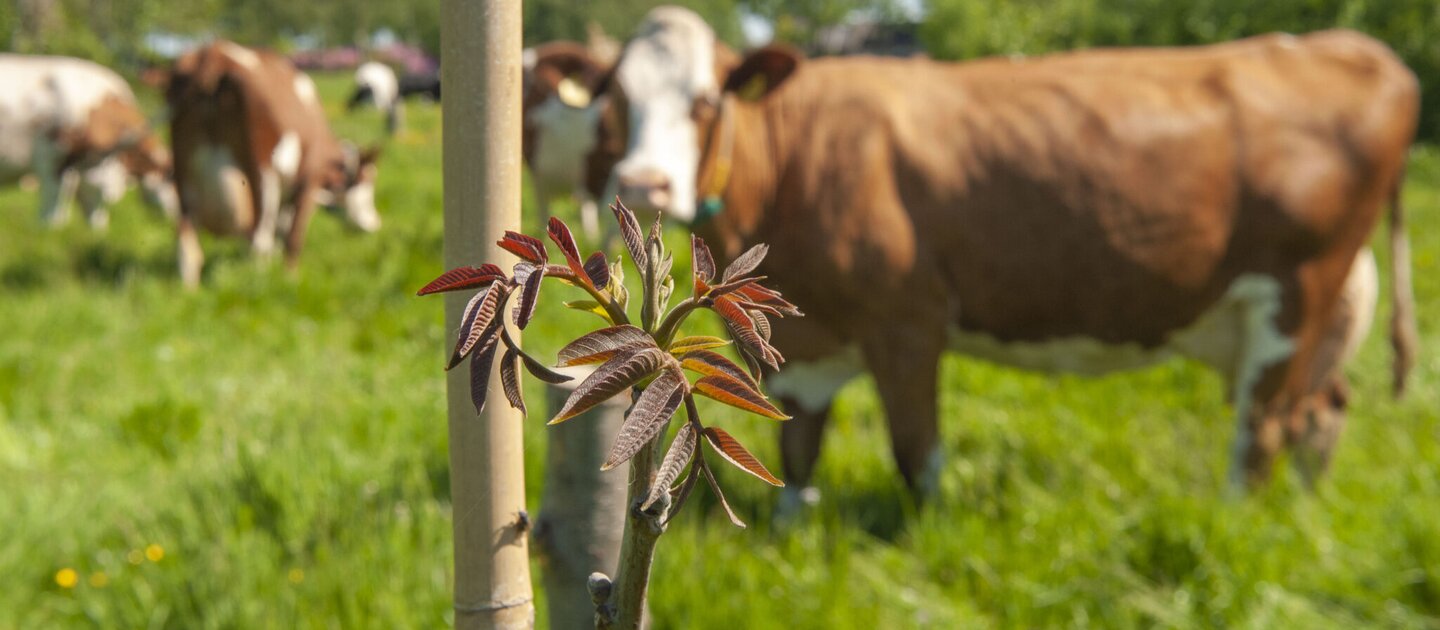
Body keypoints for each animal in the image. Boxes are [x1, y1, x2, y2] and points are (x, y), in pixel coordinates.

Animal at [167, 39, 383, 284]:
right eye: (368, 182)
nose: (374, 224)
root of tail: (214, 54)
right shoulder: (309, 180)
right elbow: (293, 236)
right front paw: (290, 278)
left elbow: (283, 228)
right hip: (262, 174)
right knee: (259, 239)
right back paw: (261, 283)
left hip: (184, 170)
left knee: (188, 247)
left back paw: (190, 289)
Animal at [601, 6, 1422, 506]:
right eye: (614, 101)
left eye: (705, 101)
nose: (641, 183)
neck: (800, 158)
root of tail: (1342, 44)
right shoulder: (805, 342)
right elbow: (797, 450)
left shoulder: (908, 321)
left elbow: (917, 455)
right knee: (1322, 409)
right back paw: (1303, 510)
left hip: (1298, 292)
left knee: (1264, 432)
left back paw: (1234, 525)